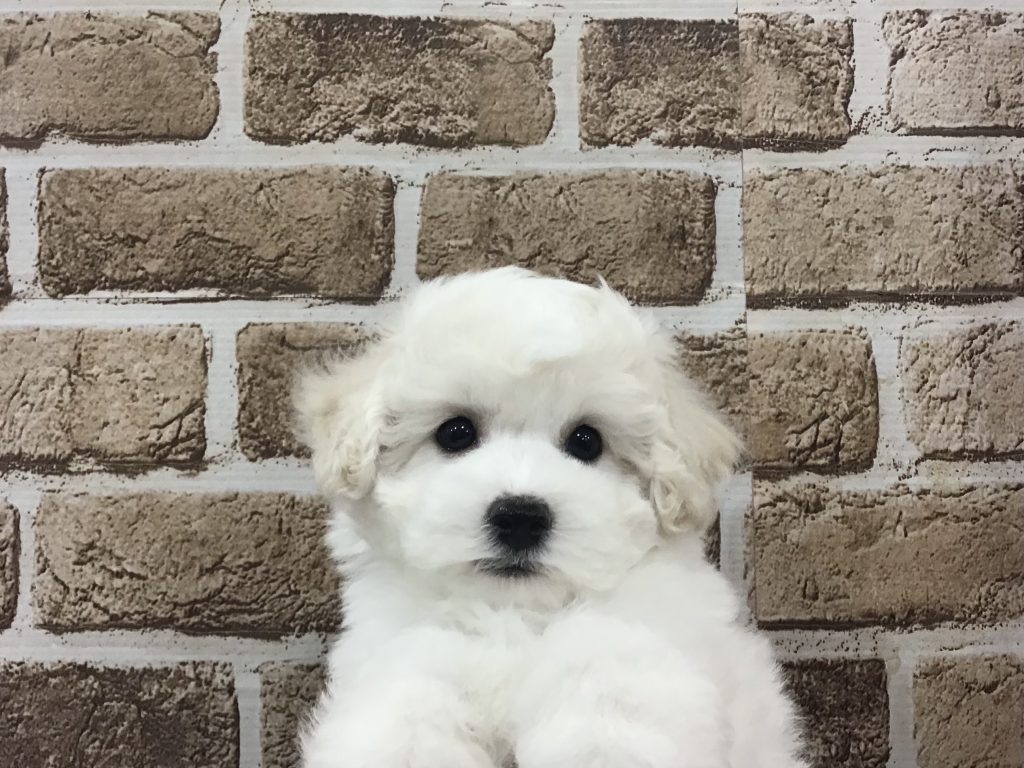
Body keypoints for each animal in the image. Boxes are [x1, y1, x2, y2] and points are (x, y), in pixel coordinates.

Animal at [296, 267, 807, 768]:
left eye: (587, 441)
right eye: (456, 432)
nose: (520, 517)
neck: (517, 616)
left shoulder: (640, 647)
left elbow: (605, 691)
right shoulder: (403, 655)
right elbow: (410, 710)